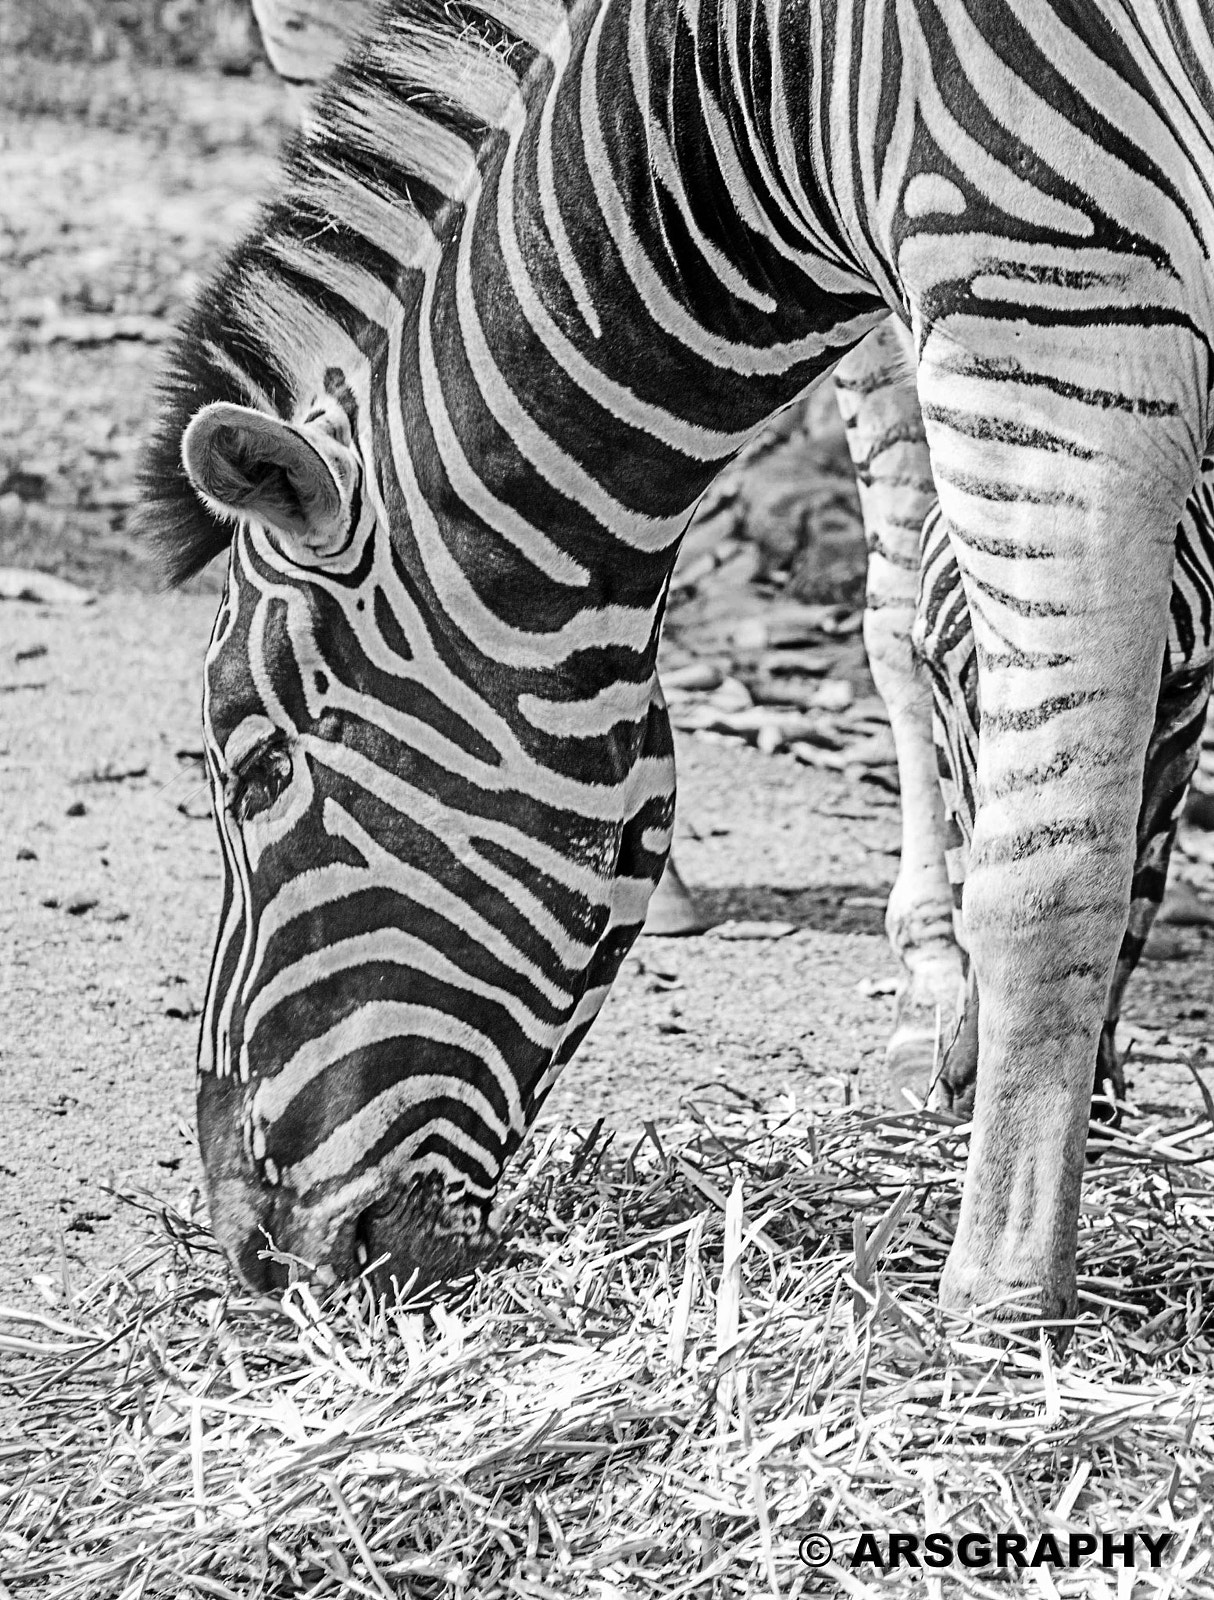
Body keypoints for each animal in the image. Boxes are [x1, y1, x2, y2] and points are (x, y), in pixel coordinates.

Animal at [142, 0, 1214, 1340]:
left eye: (256, 769)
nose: (256, 1256)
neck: (761, 88)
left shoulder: (1055, 316)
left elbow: (1043, 870)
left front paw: (1000, 1293)